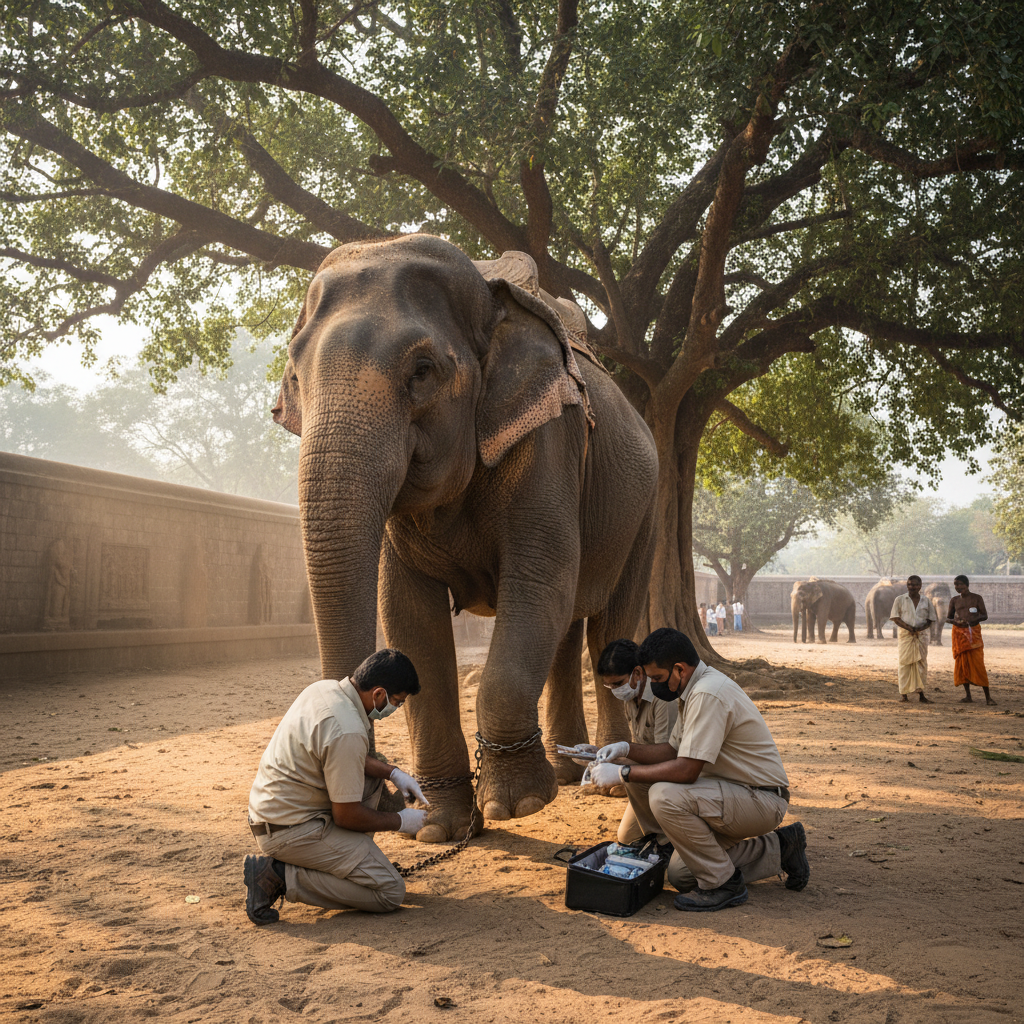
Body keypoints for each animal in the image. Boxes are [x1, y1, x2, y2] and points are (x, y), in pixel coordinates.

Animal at [272, 234, 658, 843]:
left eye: (423, 371)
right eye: (293, 377)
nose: (378, 789)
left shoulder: (550, 438)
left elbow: (537, 578)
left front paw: (517, 804)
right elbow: (408, 615)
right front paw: (441, 827)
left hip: (644, 511)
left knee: (606, 626)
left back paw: (608, 779)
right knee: (566, 628)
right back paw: (570, 770)